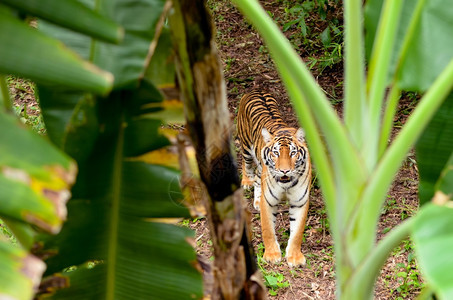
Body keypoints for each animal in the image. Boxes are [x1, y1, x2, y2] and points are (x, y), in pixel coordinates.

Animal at [237, 91, 310, 268]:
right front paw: (271, 255)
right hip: (246, 148)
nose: (284, 170)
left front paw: (294, 257)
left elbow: (297, 232)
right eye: (276, 153)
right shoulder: (269, 201)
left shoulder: (300, 201)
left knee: (258, 177)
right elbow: (268, 229)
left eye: (292, 153)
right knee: (246, 165)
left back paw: (256, 199)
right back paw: (247, 182)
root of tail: (255, 89)